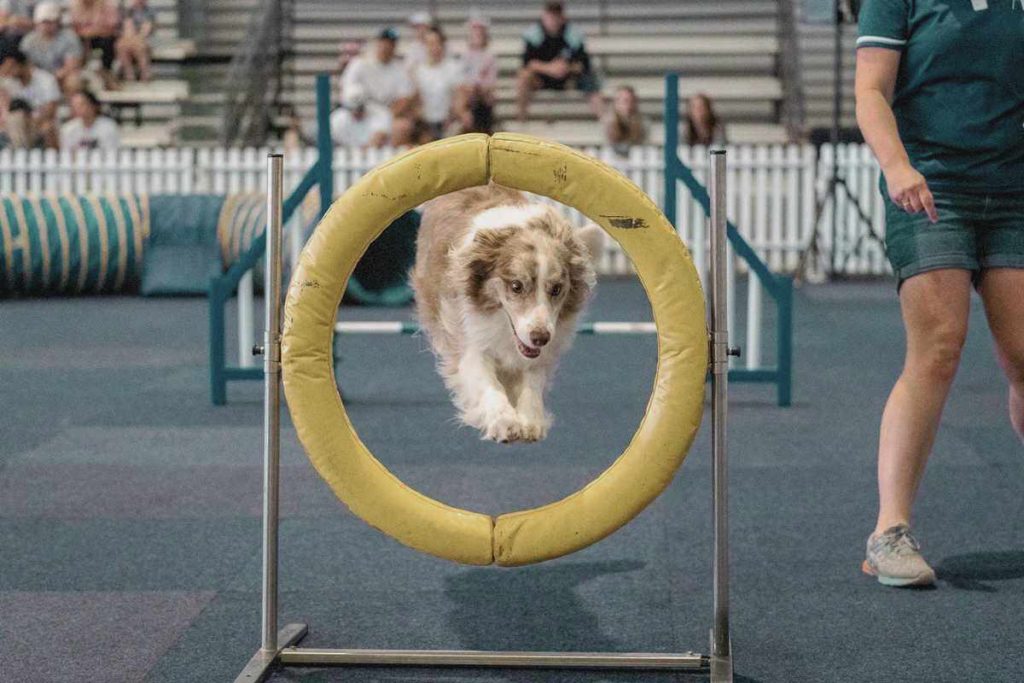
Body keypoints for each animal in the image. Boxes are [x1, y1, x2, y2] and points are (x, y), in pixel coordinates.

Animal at [409, 184, 602, 446]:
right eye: (516, 286)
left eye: (556, 289)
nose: (540, 338)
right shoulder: (470, 340)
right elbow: (489, 384)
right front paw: (504, 422)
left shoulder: (540, 352)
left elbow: (532, 382)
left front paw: (530, 420)